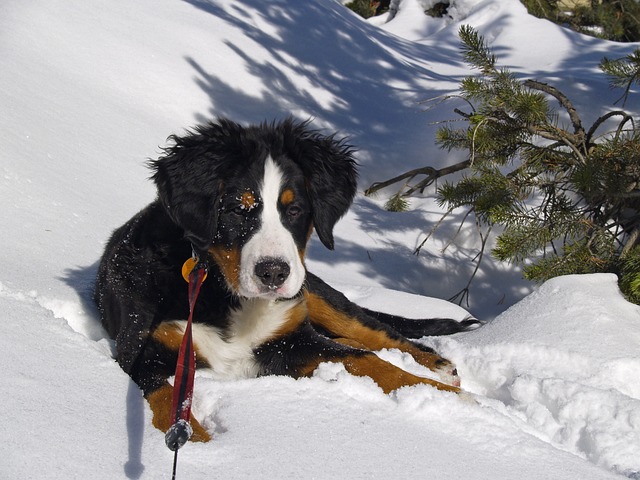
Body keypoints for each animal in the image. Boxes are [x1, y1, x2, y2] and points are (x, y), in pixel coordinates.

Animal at [94, 118, 476, 440]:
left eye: (294, 210)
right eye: (237, 209)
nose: (274, 273)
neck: (221, 290)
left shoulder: (290, 339)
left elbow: (366, 359)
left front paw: (450, 399)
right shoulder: (141, 350)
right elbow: (169, 401)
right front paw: (201, 447)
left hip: (314, 294)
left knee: (374, 332)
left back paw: (438, 365)